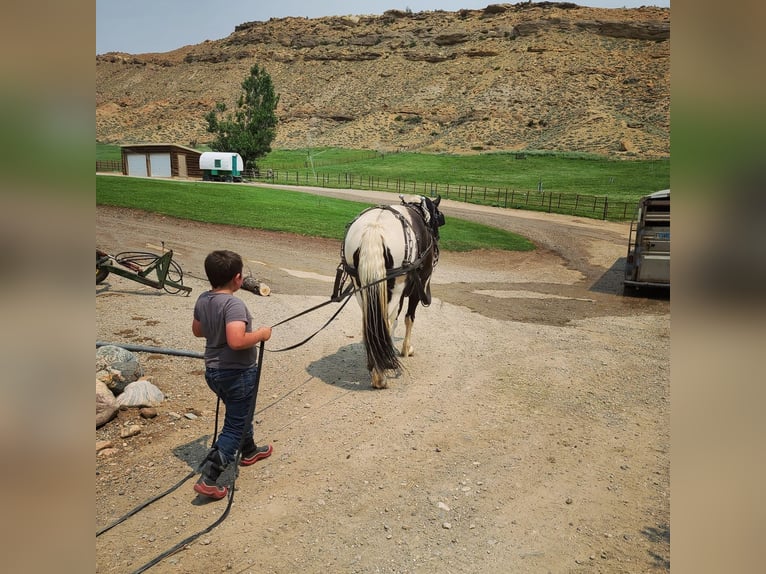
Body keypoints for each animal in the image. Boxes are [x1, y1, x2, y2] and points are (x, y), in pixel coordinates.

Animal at [334, 196, 444, 390]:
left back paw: (375, 364)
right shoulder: (415, 290)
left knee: (370, 323)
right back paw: (380, 375)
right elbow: (408, 318)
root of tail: (374, 227)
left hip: (361, 287)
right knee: (385, 321)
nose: (437, 240)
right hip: (395, 288)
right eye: (438, 219)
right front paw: (405, 349)